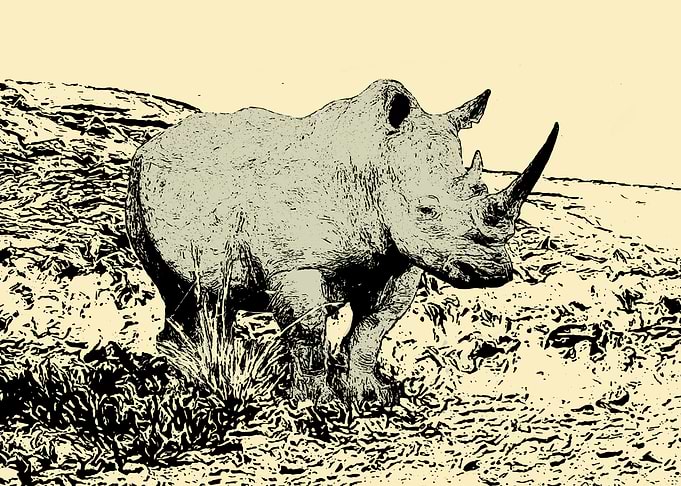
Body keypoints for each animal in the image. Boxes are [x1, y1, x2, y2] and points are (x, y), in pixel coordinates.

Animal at [125, 79, 558, 409]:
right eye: (426, 208)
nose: (497, 272)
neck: (375, 166)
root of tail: (152, 143)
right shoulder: (296, 267)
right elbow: (309, 331)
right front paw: (315, 403)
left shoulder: (397, 261)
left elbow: (372, 329)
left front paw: (372, 396)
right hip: (136, 184)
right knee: (172, 287)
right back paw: (181, 376)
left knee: (215, 296)